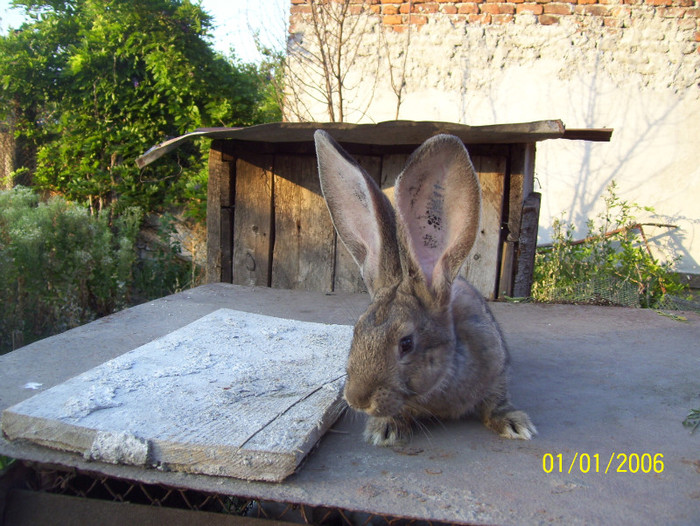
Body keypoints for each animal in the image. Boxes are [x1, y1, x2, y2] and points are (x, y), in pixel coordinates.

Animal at [314, 130, 540, 448]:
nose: (358, 399)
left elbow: (496, 401)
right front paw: (384, 429)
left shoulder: (497, 372)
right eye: (356, 332)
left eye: (406, 344)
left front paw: (514, 424)